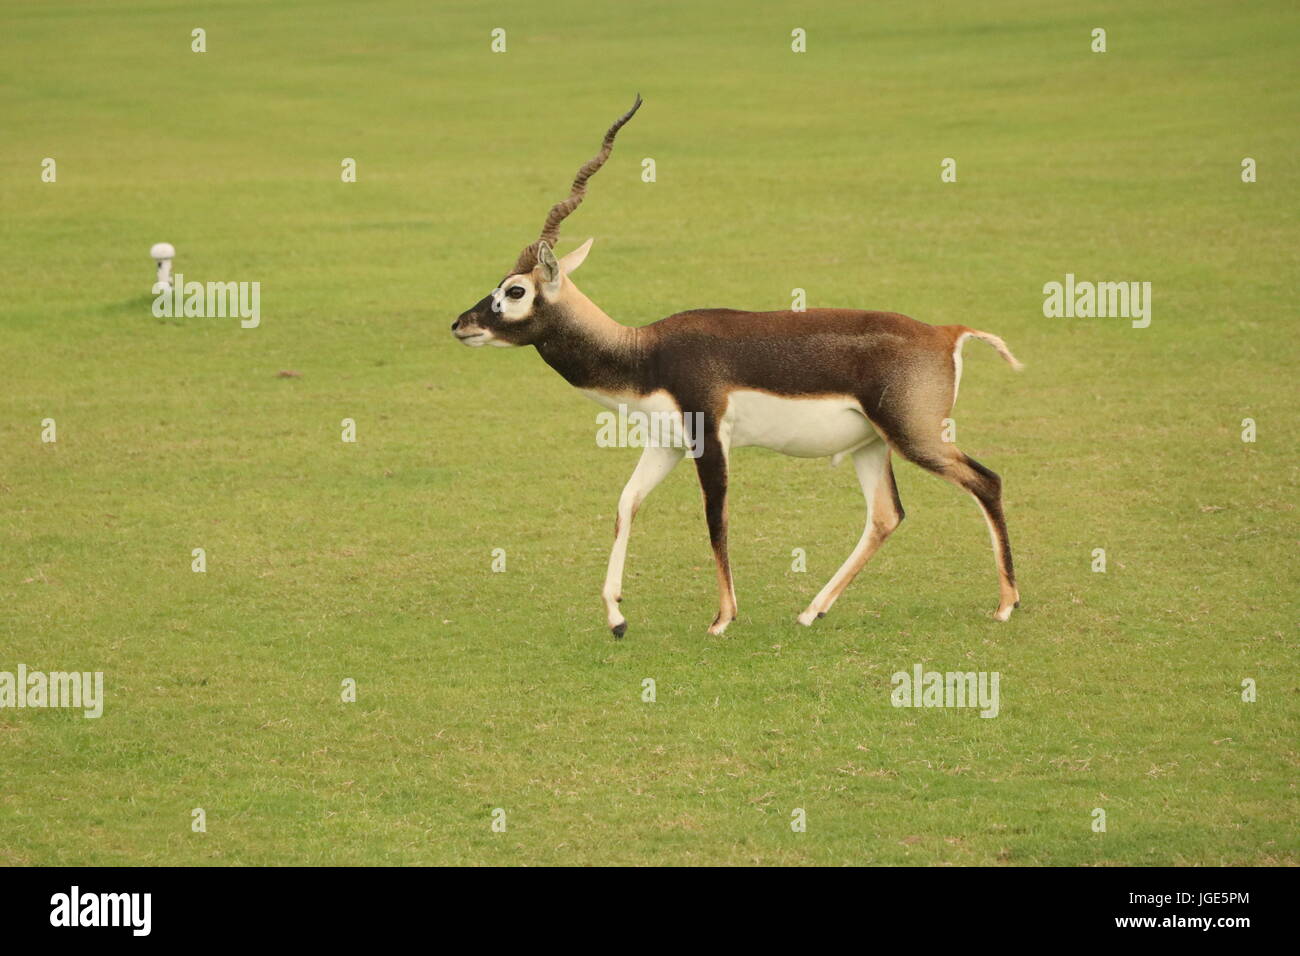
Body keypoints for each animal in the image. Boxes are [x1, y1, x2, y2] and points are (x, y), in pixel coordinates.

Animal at [452, 97, 1019, 639]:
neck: (646, 352)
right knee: (886, 515)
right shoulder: (666, 443)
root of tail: (947, 332)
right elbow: (625, 504)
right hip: (871, 444)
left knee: (986, 481)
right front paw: (616, 617)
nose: (461, 324)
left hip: (915, 436)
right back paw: (811, 612)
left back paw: (1006, 605)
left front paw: (722, 618)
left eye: (514, 291)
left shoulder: (710, 439)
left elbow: (715, 518)